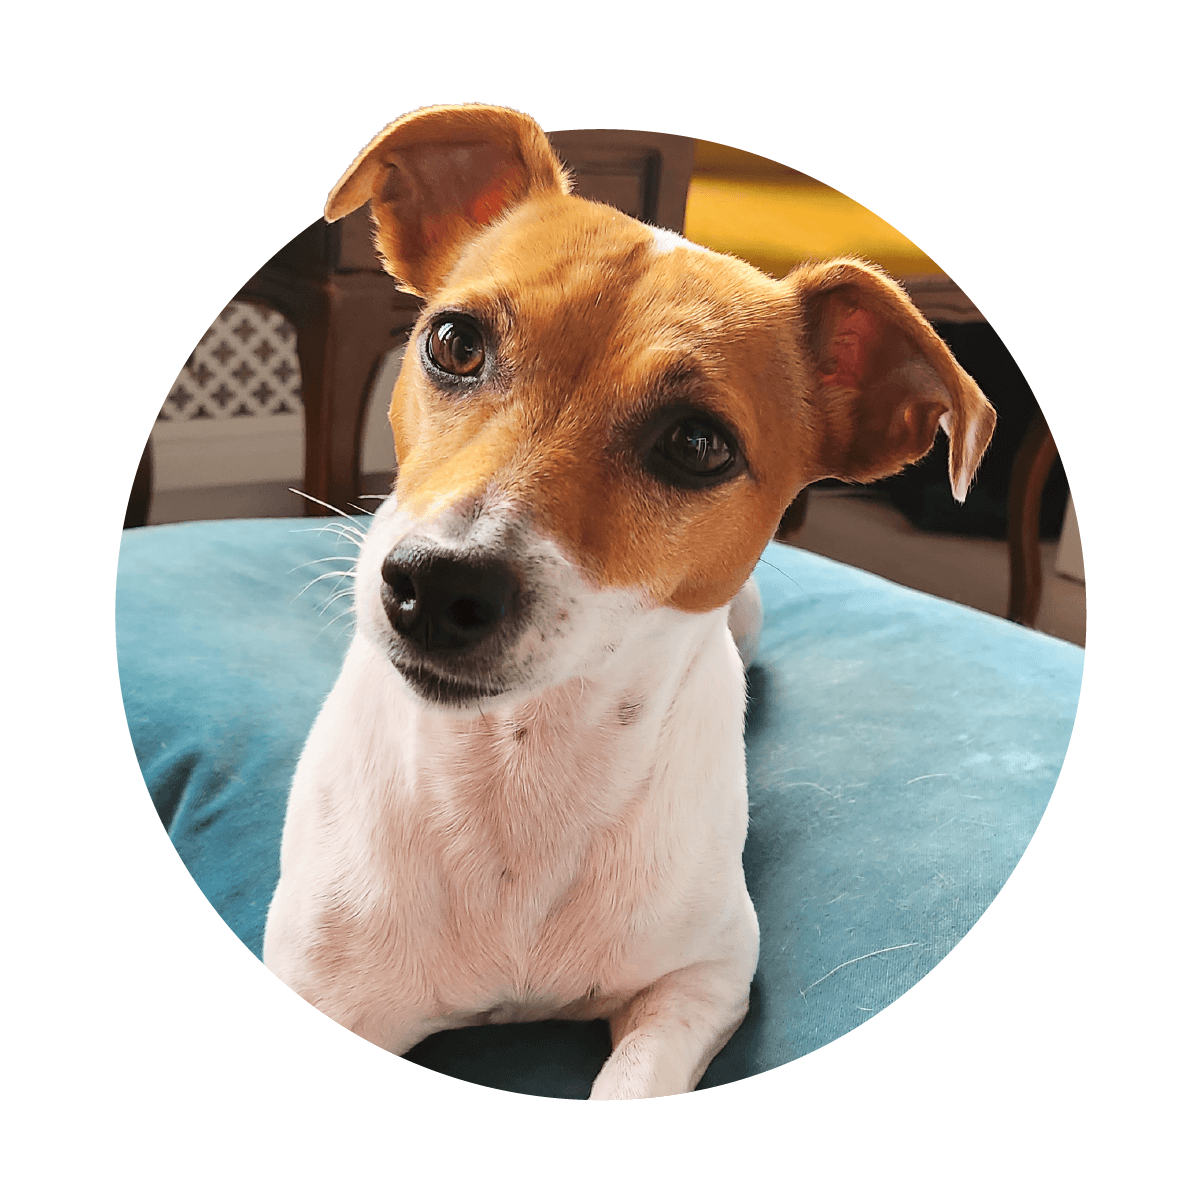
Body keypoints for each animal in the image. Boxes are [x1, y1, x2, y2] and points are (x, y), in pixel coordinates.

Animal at [263, 103, 994, 1100]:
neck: (517, 770)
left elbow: (635, 1079)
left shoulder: (703, 979)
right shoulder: (320, 991)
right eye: (453, 342)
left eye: (697, 443)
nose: (437, 584)